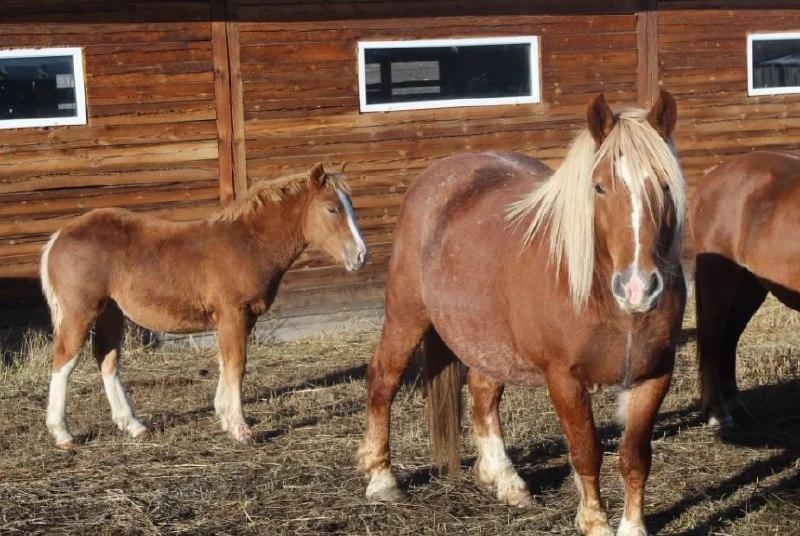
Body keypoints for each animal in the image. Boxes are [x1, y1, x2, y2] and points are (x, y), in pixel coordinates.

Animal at [40, 163, 366, 448]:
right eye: (332, 209)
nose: (362, 256)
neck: (249, 243)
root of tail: (59, 236)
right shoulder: (233, 313)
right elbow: (237, 364)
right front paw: (240, 428)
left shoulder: (239, 318)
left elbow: (226, 362)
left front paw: (224, 417)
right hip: (80, 312)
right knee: (64, 360)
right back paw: (62, 434)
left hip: (110, 311)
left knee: (107, 360)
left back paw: (133, 425)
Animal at [357, 91, 686, 536]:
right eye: (599, 187)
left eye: (665, 185)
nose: (637, 287)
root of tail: (438, 176)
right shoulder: (564, 379)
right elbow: (586, 450)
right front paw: (595, 522)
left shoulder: (655, 374)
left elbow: (635, 456)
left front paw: (632, 527)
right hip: (406, 315)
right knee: (383, 380)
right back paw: (382, 480)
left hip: (489, 338)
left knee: (482, 391)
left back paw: (505, 480)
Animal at [691, 150, 800, 428]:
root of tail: (713, 174)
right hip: (719, 279)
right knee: (713, 337)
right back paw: (717, 411)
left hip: (750, 286)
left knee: (730, 337)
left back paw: (734, 403)